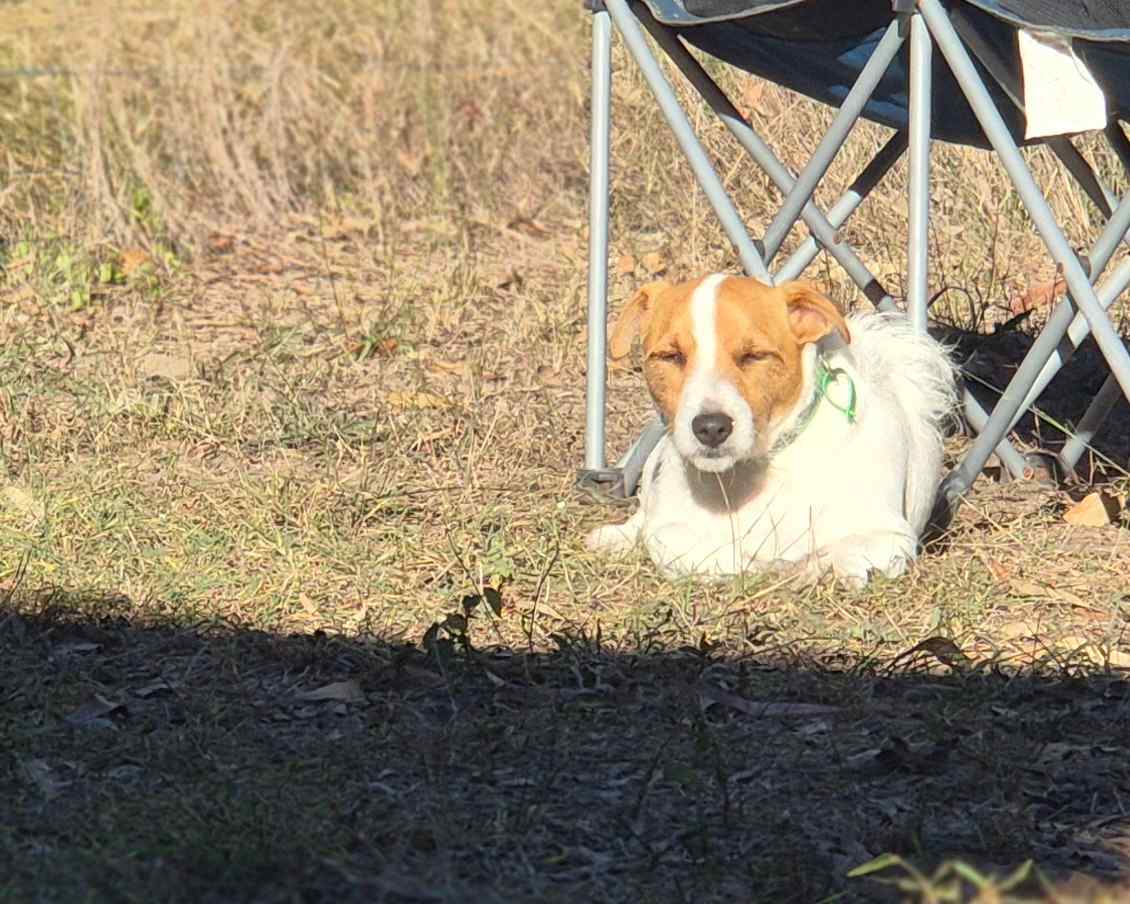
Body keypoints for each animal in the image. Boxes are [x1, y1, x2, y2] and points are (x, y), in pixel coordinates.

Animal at [587, 275, 958, 587]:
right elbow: (683, 545)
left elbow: (845, 552)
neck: (763, 466)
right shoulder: (670, 529)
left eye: (755, 356)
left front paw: (817, 566)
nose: (711, 427)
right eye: (671, 356)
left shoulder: (888, 534)